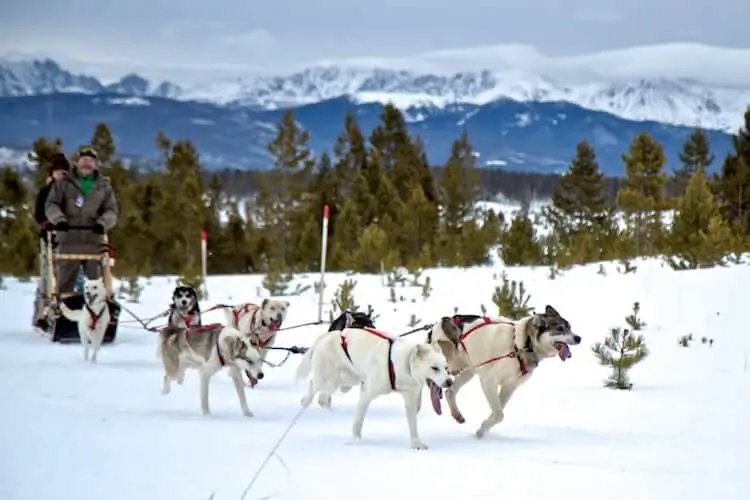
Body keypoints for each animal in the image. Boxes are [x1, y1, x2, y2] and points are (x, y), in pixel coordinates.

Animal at [296, 326, 456, 452]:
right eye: (434, 368)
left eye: (446, 368)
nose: (449, 381)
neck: (403, 364)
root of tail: (332, 334)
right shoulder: (367, 393)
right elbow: (358, 421)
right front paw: (356, 441)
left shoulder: (410, 400)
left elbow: (413, 425)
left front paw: (416, 443)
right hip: (328, 380)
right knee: (313, 386)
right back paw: (306, 401)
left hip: (346, 380)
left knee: (325, 395)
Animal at [428, 304, 580, 438]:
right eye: (560, 328)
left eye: (570, 327)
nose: (579, 338)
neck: (522, 344)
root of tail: (441, 322)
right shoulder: (489, 382)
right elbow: (499, 414)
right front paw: (482, 429)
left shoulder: (509, 387)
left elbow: (497, 412)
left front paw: (484, 427)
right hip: (448, 365)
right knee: (435, 384)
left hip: (469, 370)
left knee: (450, 391)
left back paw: (457, 414)